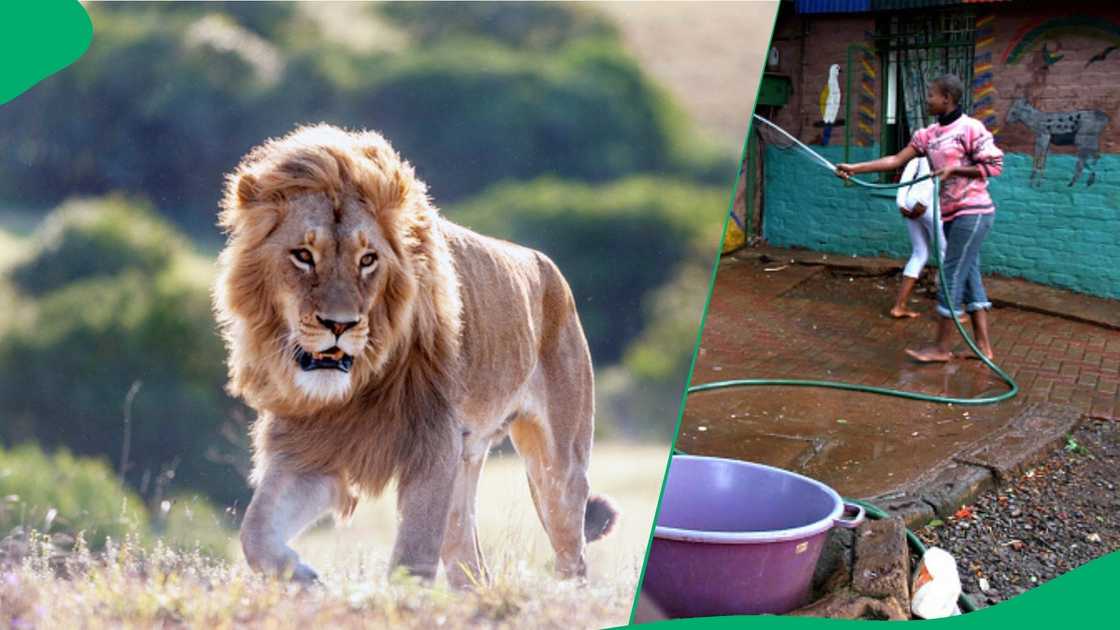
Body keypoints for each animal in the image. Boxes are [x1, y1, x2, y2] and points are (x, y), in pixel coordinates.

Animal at [213, 124, 622, 587]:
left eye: (367, 259)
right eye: (303, 255)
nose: (340, 325)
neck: (358, 384)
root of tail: (548, 266)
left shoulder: (434, 443)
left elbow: (412, 555)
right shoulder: (312, 448)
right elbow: (255, 531)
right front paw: (305, 578)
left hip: (557, 468)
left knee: (573, 553)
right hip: (466, 466)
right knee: (470, 563)